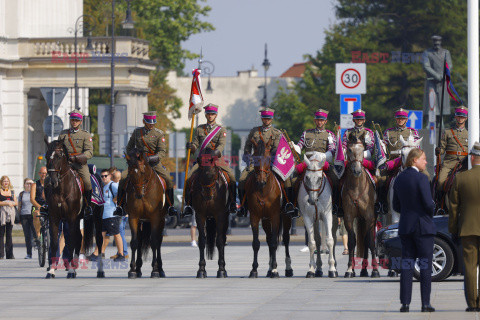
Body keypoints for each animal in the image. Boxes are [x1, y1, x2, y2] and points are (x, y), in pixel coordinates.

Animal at [44, 139, 94, 278]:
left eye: (59, 156)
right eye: (46, 156)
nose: (53, 181)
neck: (61, 190)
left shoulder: (71, 217)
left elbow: (71, 241)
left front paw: (71, 270)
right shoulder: (54, 218)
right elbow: (54, 243)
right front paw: (51, 270)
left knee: (78, 238)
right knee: (78, 237)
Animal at [125, 149, 167, 278]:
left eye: (143, 172)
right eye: (129, 173)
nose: (138, 194)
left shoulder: (155, 218)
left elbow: (154, 242)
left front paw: (155, 270)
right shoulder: (133, 217)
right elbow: (134, 242)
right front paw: (132, 270)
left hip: (161, 220)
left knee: (159, 241)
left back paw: (160, 269)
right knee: (139, 241)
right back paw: (138, 269)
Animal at [190, 148, 230, 278]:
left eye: (214, 175)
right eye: (200, 176)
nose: (208, 196)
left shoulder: (220, 215)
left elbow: (220, 240)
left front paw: (221, 269)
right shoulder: (199, 215)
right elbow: (202, 240)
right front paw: (201, 270)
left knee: (223, 237)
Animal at [244, 139, 292, 278]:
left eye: (268, 158)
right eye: (254, 158)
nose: (261, 181)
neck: (262, 190)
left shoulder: (275, 216)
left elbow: (275, 242)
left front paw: (275, 270)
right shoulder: (255, 217)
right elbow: (256, 243)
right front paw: (254, 270)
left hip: (286, 217)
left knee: (285, 239)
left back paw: (288, 268)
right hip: (265, 220)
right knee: (269, 238)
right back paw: (270, 268)